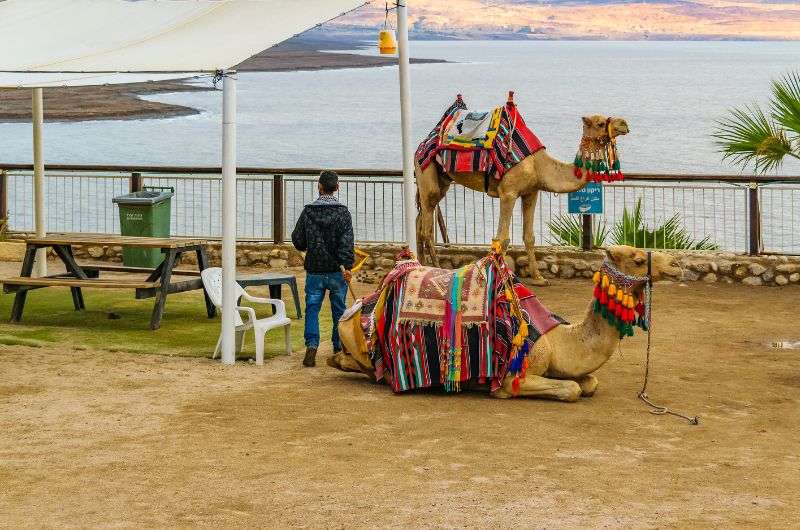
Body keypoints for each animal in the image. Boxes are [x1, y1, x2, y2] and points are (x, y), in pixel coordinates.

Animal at [328, 243, 680, 400]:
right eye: (638, 258)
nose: (676, 264)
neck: (558, 341)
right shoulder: (514, 374)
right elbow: (571, 389)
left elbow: (590, 383)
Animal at [416, 96, 628, 284]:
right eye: (600, 123)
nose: (624, 123)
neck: (538, 165)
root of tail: (421, 145)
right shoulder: (508, 193)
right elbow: (502, 238)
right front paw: (502, 278)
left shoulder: (531, 193)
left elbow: (529, 236)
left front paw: (539, 278)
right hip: (426, 172)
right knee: (427, 227)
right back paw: (435, 266)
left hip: (442, 180)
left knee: (420, 221)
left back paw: (420, 263)